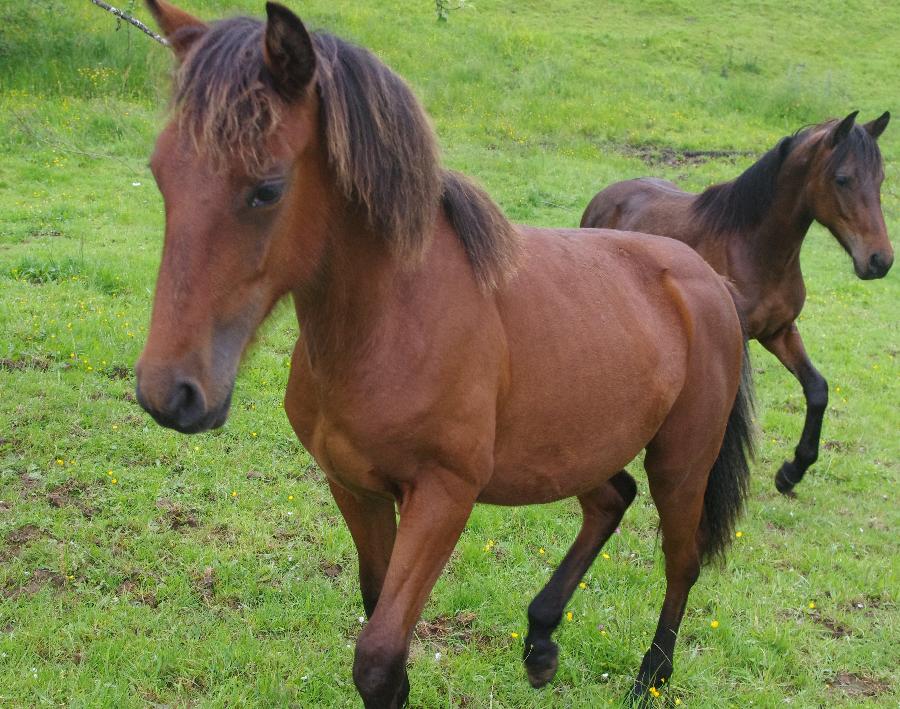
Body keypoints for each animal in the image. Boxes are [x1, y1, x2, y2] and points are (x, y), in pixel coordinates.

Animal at [135, 2, 752, 704]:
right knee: (610, 500)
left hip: (681, 462)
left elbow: (378, 653)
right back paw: (541, 641)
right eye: (160, 174)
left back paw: (650, 676)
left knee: (681, 559)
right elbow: (382, 624)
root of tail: (709, 280)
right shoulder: (357, 488)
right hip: (577, 445)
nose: (170, 393)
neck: (393, 321)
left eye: (267, 188)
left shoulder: (443, 494)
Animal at [580, 112, 888, 498]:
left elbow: (817, 389)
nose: (880, 260)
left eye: (881, 178)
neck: (754, 246)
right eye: (843, 179)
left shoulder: (779, 332)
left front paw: (791, 472)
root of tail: (607, 195)